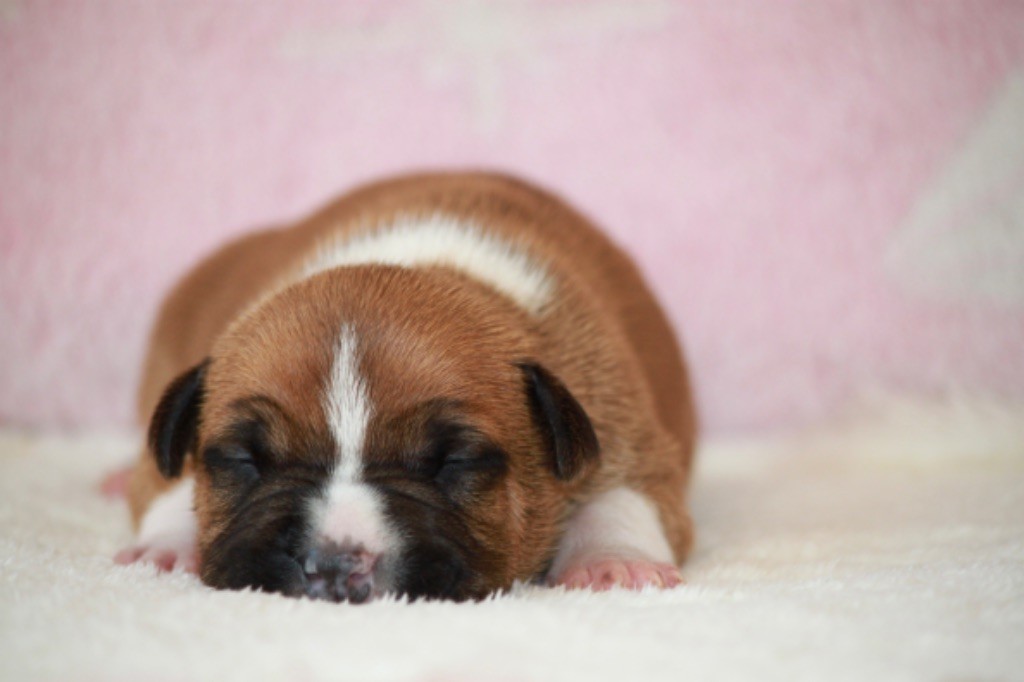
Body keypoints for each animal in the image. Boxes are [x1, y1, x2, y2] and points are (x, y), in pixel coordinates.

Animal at [116, 172, 696, 602]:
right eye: (242, 459)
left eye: (456, 461)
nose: (333, 565)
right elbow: (166, 480)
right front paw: (165, 550)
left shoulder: (622, 416)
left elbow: (627, 495)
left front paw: (614, 563)